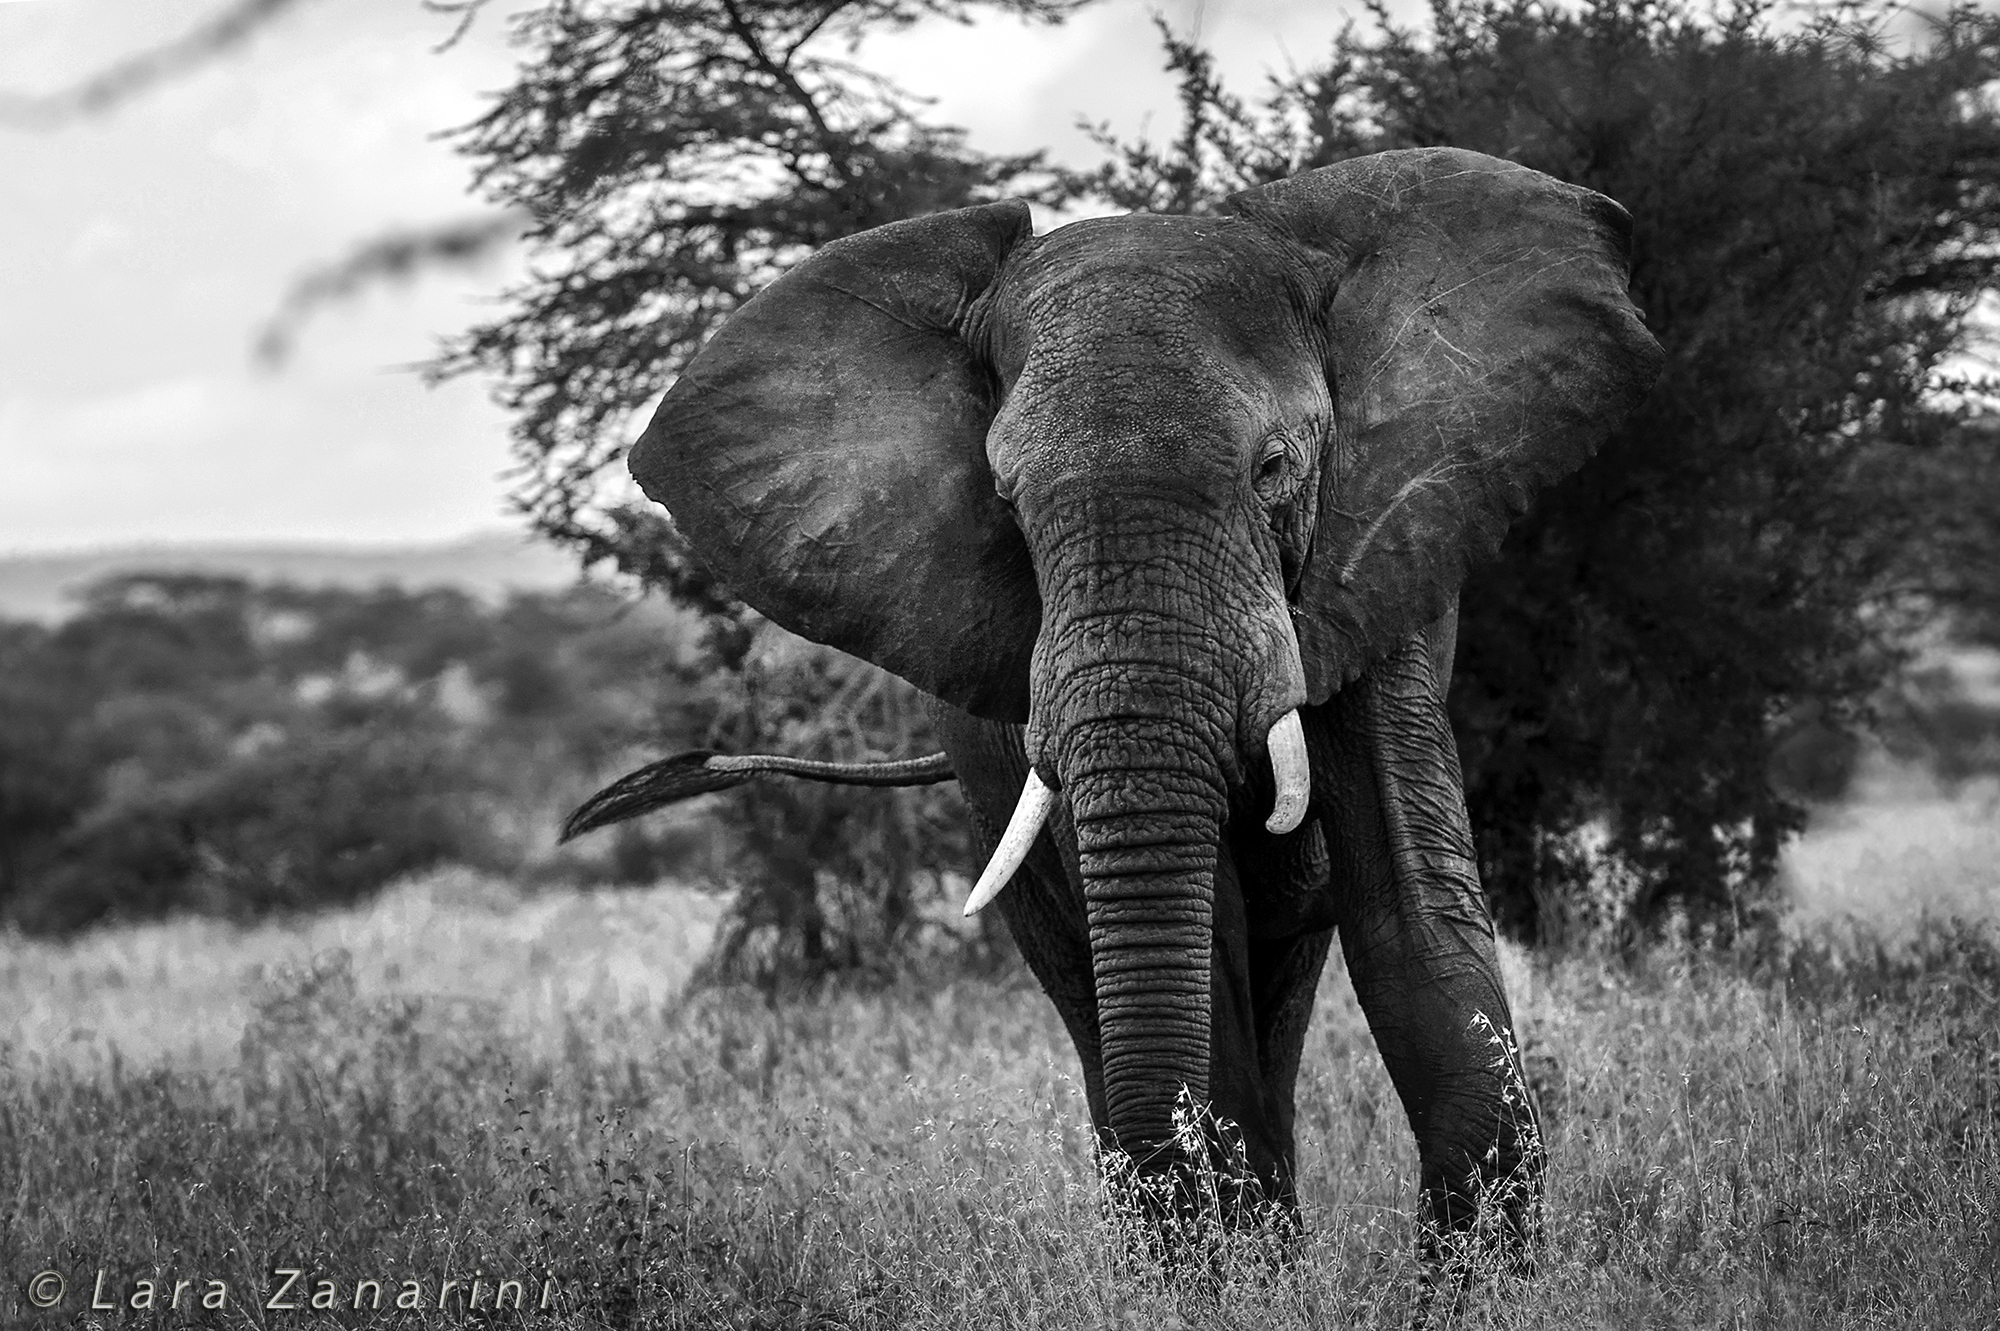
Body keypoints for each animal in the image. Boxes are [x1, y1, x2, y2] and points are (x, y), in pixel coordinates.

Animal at [569, 148, 1663, 1265]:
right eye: (1005, 500)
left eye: (1274, 467)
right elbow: (1197, 951)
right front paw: (1239, 1277)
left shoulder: (1387, 551)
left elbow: (1410, 909)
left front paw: (1465, 1275)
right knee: (1107, 988)